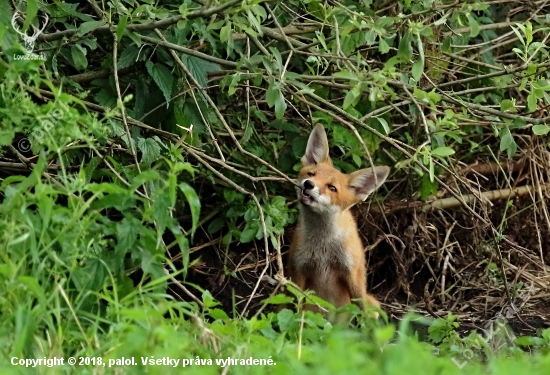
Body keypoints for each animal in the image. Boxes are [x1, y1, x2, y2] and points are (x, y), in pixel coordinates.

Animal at [286, 125, 390, 318]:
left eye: (332, 188)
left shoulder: (352, 274)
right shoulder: (298, 270)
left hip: (372, 302)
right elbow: (296, 308)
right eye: (311, 174)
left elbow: (362, 312)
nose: (308, 184)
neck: (323, 247)